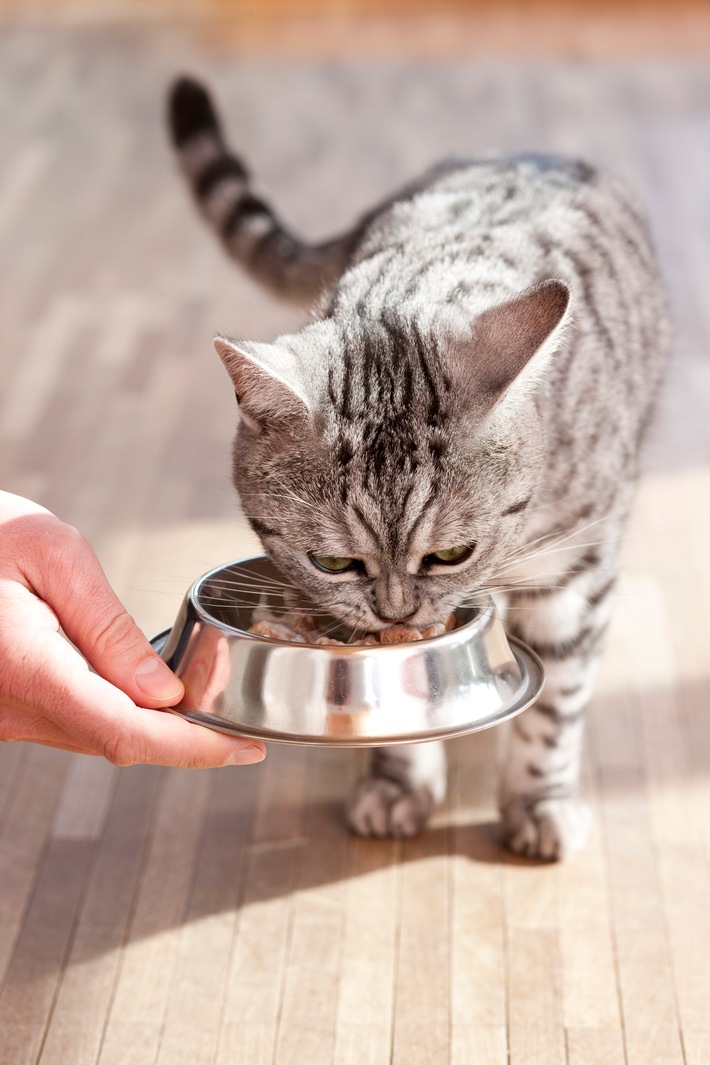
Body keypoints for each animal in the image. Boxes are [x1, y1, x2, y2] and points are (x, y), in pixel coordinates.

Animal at [169, 75, 668, 860]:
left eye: (452, 553)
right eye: (332, 562)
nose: (396, 612)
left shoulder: (576, 567)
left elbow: (557, 700)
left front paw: (539, 800)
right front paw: (400, 779)